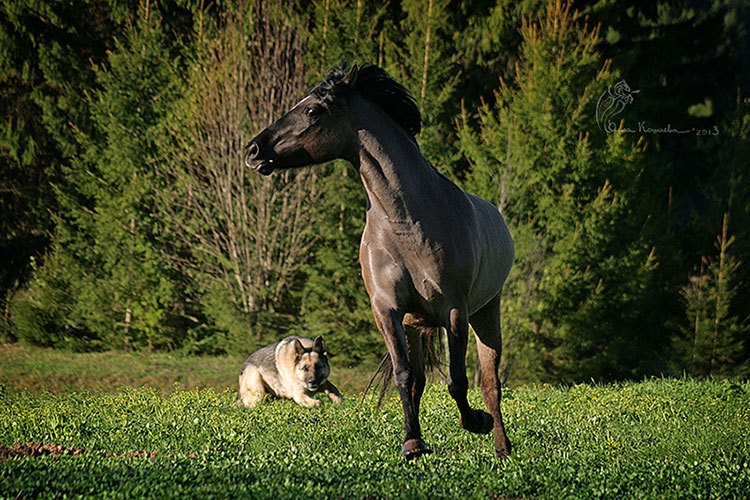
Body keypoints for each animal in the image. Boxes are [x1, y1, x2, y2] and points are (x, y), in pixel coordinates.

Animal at [247, 64, 516, 458]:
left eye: (312, 110)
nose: (253, 150)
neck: (407, 223)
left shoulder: (455, 310)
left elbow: (457, 380)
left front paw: (475, 422)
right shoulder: (387, 310)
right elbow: (406, 377)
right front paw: (412, 443)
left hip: (486, 312)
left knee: (490, 381)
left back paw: (501, 446)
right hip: (415, 325)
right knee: (419, 380)